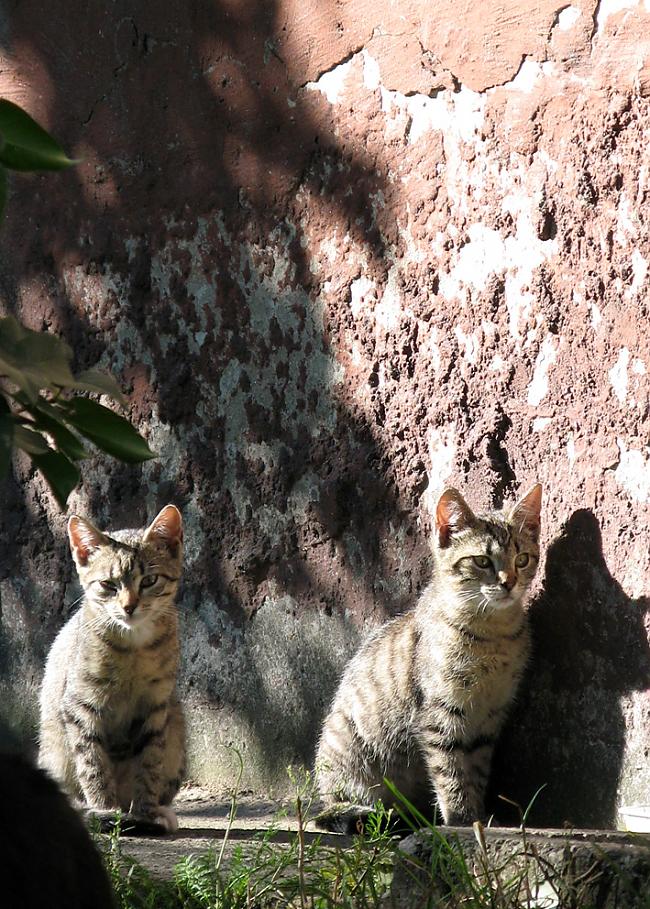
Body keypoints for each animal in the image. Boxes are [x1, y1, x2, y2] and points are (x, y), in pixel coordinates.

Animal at [38, 504, 185, 828]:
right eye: (108, 584)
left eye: (149, 581)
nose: (129, 607)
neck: (134, 647)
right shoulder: (80, 706)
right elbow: (92, 761)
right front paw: (104, 808)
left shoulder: (156, 705)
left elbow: (150, 761)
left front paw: (145, 810)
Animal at [314, 486, 540, 828]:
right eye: (482, 561)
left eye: (522, 558)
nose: (509, 582)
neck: (493, 636)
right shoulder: (440, 712)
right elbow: (450, 769)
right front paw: (461, 819)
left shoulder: (488, 719)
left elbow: (475, 771)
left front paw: (478, 815)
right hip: (347, 751)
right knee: (334, 807)